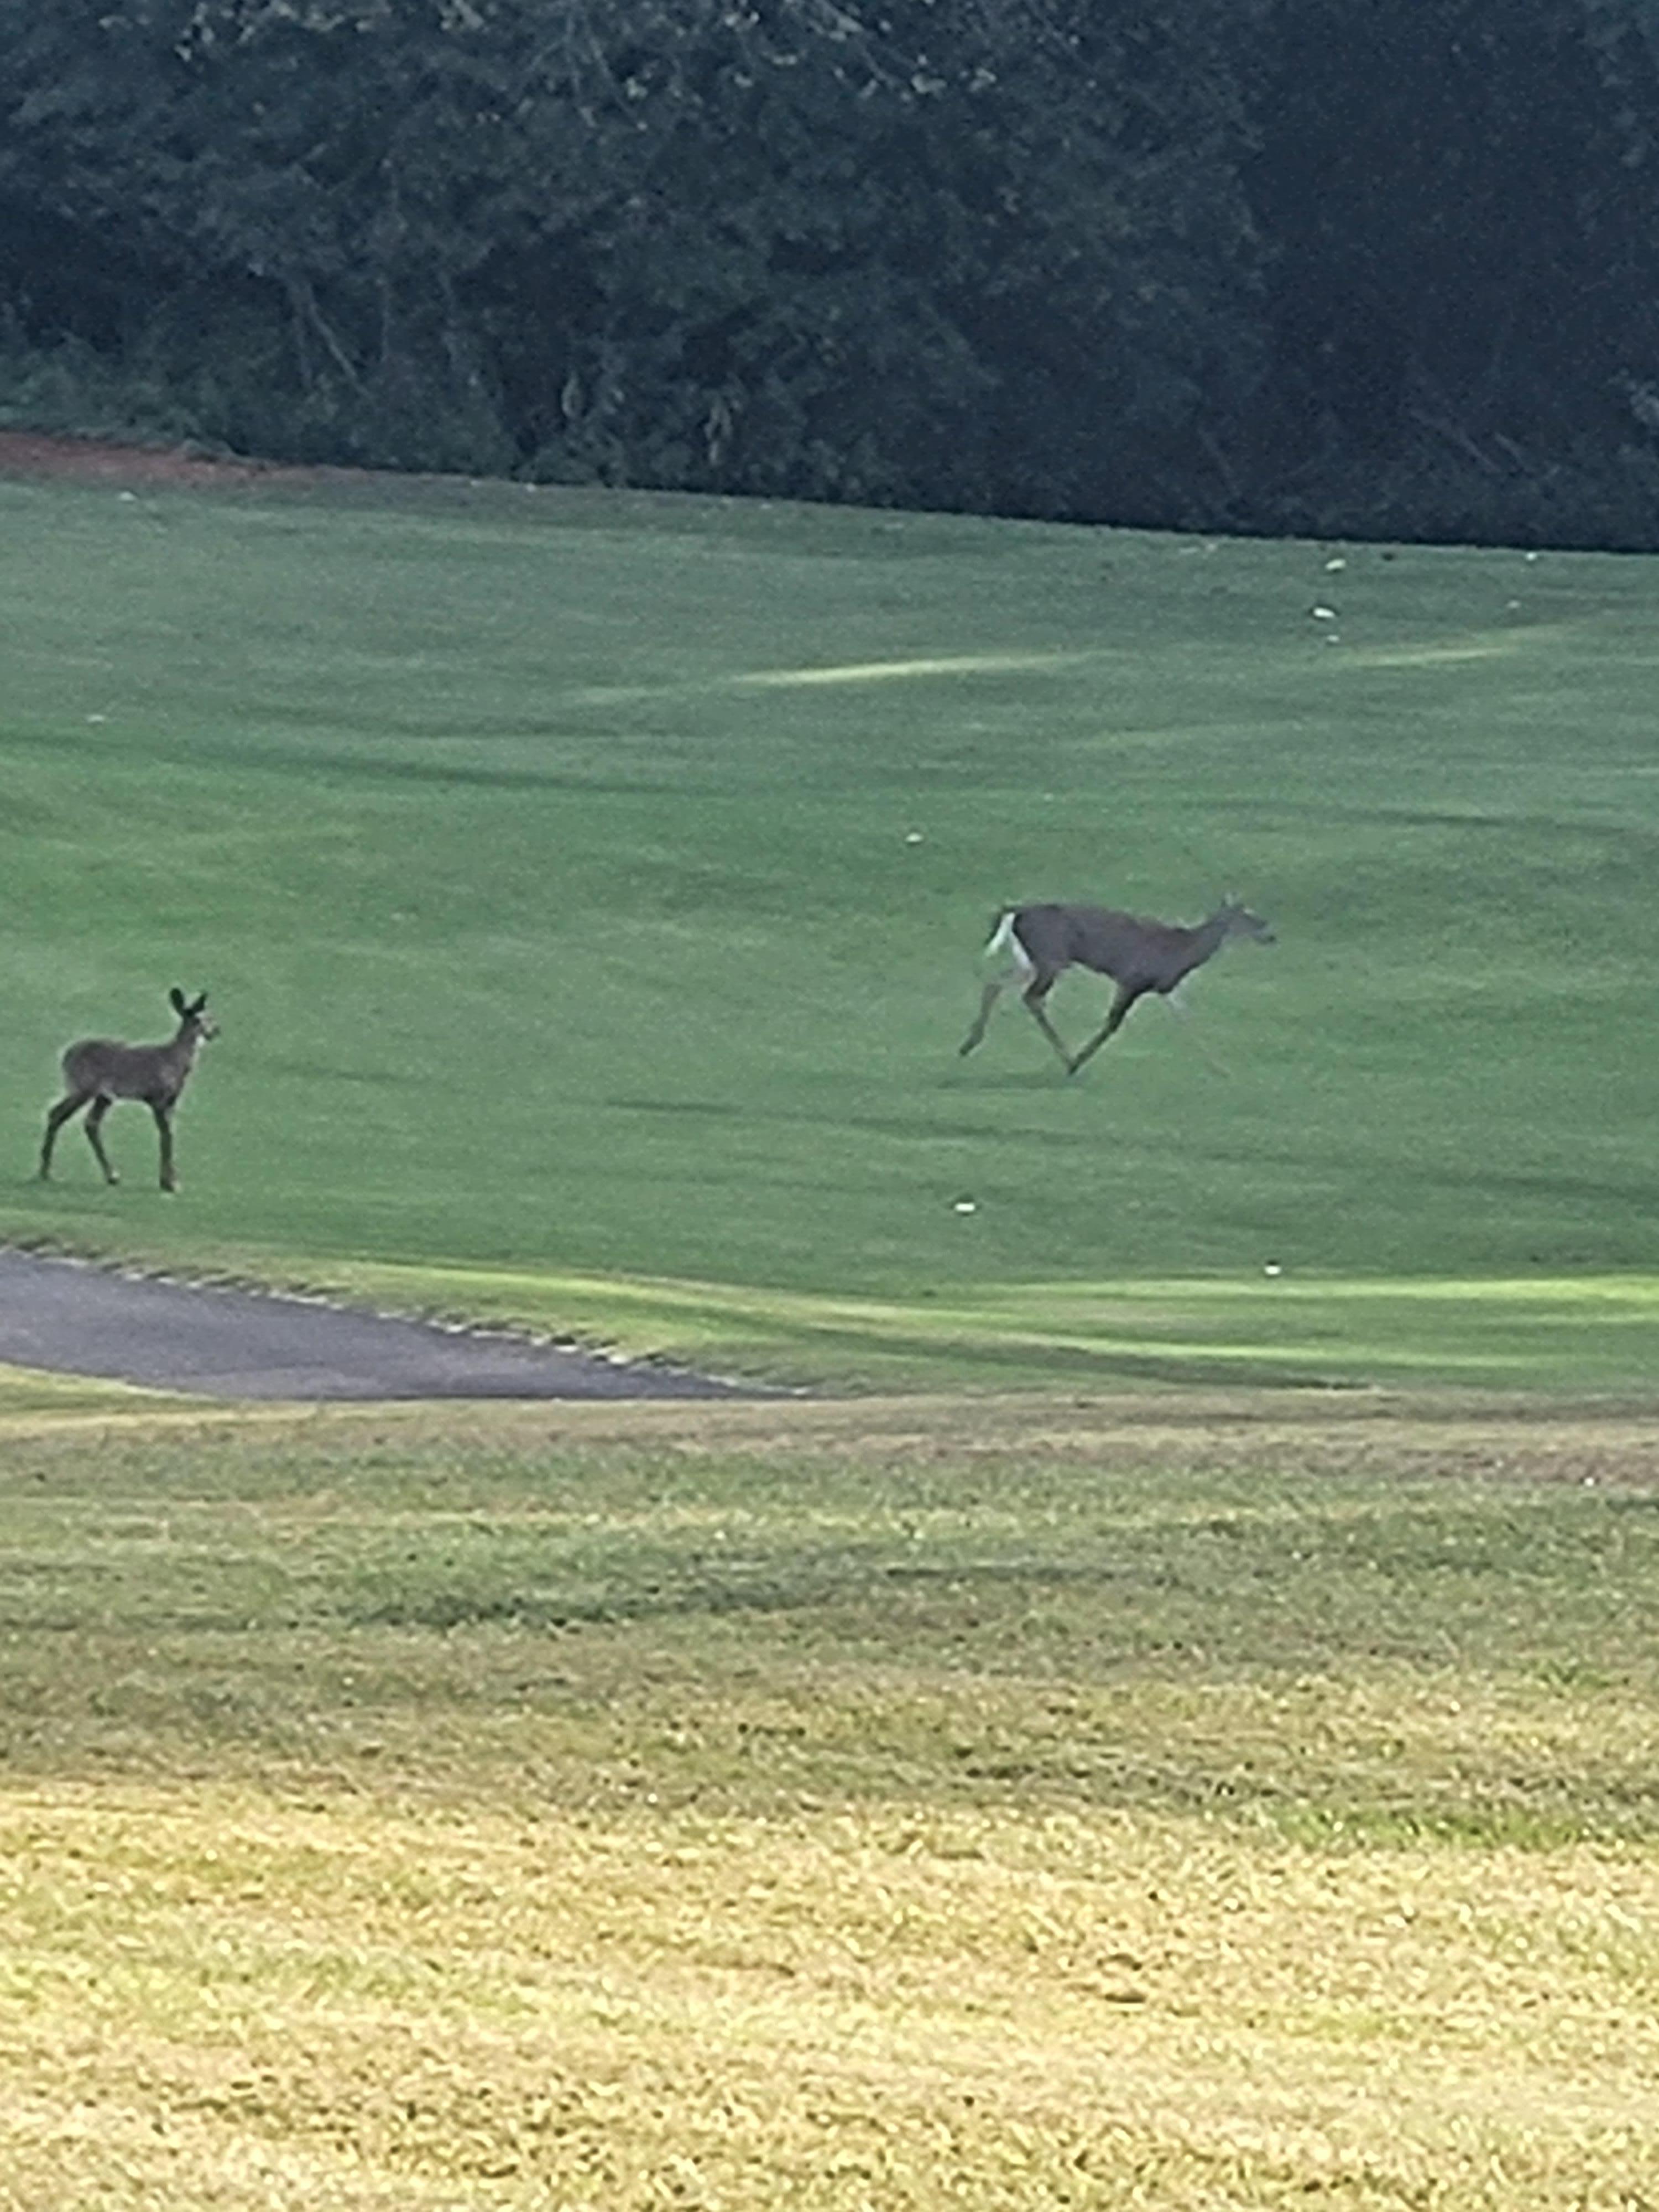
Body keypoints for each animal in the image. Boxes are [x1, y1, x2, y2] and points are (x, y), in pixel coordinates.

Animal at [41, 991, 219, 1194]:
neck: (176, 1063)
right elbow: (166, 1136)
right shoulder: (158, 1098)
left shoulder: (171, 1101)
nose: (216, 1030)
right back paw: (45, 1172)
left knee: (89, 1122)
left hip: (103, 1096)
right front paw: (170, 1183)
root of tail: (65, 1056)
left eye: (210, 1017)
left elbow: (169, 1134)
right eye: (198, 1019)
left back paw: (112, 1176)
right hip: (83, 1087)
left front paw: (169, 1181)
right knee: (57, 1113)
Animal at [960, 894, 1274, 1075]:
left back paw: (970, 1043)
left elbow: (1187, 1019)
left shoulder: (1166, 989)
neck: (1182, 951)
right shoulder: (1132, 979)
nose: (1270, 934)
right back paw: (1069, 1060)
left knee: (996, 983)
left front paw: (1220, 1068)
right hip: (1052, 958)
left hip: (1031, 961)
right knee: (1031, 998)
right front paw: (1081, 1059)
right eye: (1248, 916)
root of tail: (1014, 914)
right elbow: (1113, 1023)